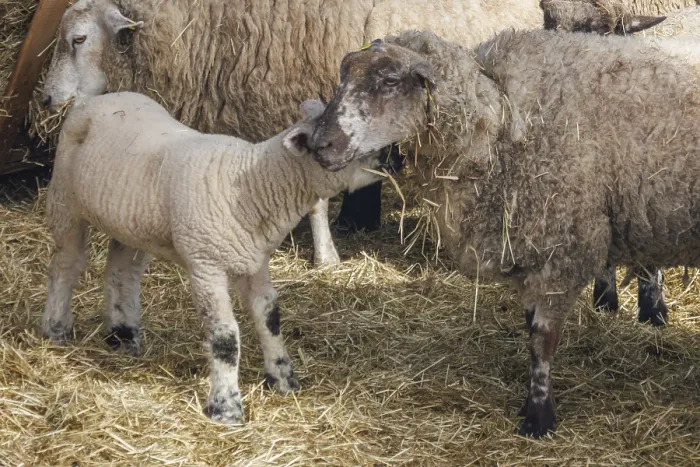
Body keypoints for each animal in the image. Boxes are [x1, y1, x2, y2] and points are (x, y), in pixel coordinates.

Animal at [42, 91, 387, 424]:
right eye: (338, 141)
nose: (388, 160)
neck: (257, 183)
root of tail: (97, 98)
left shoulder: (255, 261)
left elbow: (270, 319)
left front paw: (283, 380)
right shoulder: (206, 266)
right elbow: (225, 338)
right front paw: (226, 407)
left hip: (132, 222)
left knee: (122, 271)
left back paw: (122, 336)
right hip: (64, 200)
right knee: (65, 264)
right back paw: (56, 329)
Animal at [307, 29, 700, 437]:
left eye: (388, 81)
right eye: (344, 75)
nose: (319, 144)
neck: (497, 122)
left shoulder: (560, 248)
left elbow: (542, 339)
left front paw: (538, 418)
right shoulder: (531, 248)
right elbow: (530, 329)